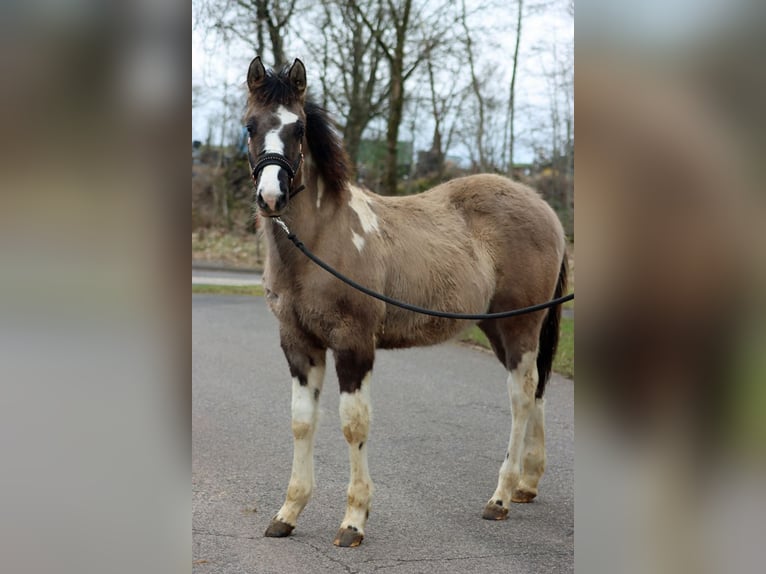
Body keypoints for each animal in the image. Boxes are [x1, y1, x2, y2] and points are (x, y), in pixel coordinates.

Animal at [245, 57, 568, 547]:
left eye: (298, 128)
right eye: (249, 125)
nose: (271, 196)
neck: (319, 240)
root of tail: (545, 208)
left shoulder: (354, 343)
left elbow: (353, 423)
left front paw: (353, 520)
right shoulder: (298, 343)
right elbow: (302, 421)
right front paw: (288, 512)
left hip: (521, 326)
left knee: (521, 396)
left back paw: (500, 497)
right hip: (498, 326)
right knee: (538, 391)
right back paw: (527, 485)